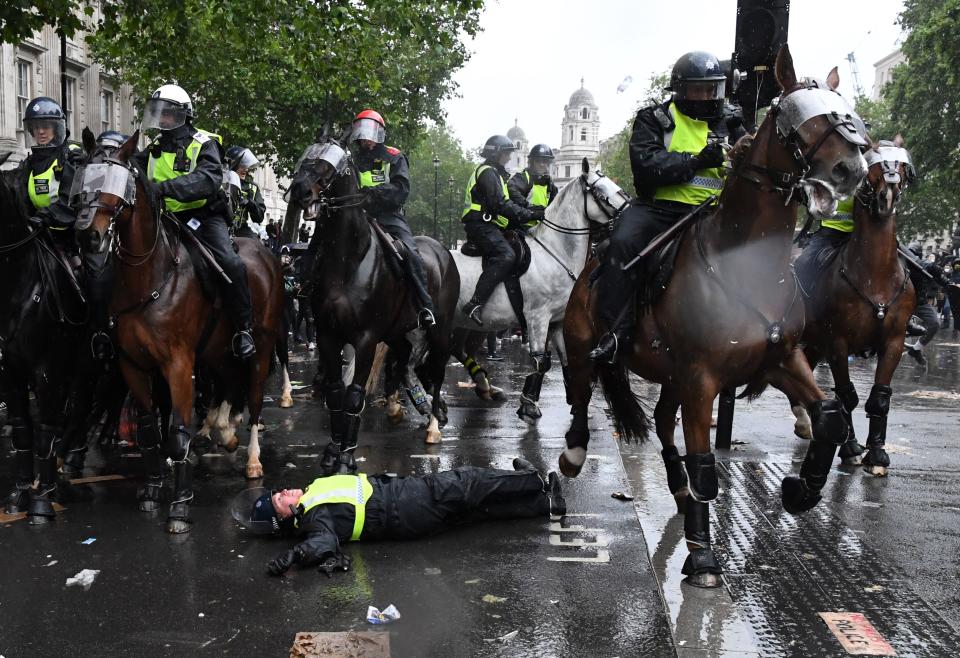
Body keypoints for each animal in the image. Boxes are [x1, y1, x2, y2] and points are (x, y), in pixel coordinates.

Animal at [76, 129, 284, 532]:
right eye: (85, 177)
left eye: (119, 182)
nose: (88, 237)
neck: (149, 278)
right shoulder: (133, 365)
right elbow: (149, 430)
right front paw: (152, 489)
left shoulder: (177, 365)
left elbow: (178, 432)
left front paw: (180, 506)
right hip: (218, 351)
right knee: (227, 384)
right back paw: (224, 432)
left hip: (263, 346)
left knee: (253, 397)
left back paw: (251, 458)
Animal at [286, 137, 460, 466]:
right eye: (305, 157)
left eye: (331, 163)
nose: (300, 190)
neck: (347, 261)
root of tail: (443, 249)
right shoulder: (328, 335)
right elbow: (335, 393)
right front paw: (333, 448)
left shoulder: (365, 338)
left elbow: (354, 394)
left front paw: (347, 455)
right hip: (394, 331)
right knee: (402, 358)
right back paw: (397, 408)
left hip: (441, 329)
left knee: (437, 370)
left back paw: (433, 425)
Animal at [452, 159, 632, 420]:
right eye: (600, 191)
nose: (631, 212)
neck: (555, 253)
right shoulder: (537, 318)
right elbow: (541, 362)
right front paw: (528, 405)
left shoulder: (557, 320)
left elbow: (566, 358)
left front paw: (574, 399)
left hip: (467, 325)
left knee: (458, 349)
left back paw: (487, 387)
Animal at [560, 48, 868, 588]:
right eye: (797, 117)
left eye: (845, 108)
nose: (853, 166)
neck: (745, 261)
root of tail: (592, 263)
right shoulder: (703, 379)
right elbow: (706, 462)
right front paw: (703, 557)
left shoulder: (780, 360)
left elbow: (829, 414)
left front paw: (800, 491)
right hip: (584, 346)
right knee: (580, 395)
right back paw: (576, 454)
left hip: (671, 376)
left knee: (663, 423)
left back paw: (679, 492)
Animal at [792, 138, 920, 474]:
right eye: (873, 165)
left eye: (901, 165)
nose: (887, 194)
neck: (875, 275)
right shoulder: (838, 343)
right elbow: (846, 396)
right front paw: (850, 448)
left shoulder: (894, 341)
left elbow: (879, 397)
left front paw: (877, 454)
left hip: (816, 342)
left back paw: (805, 419)